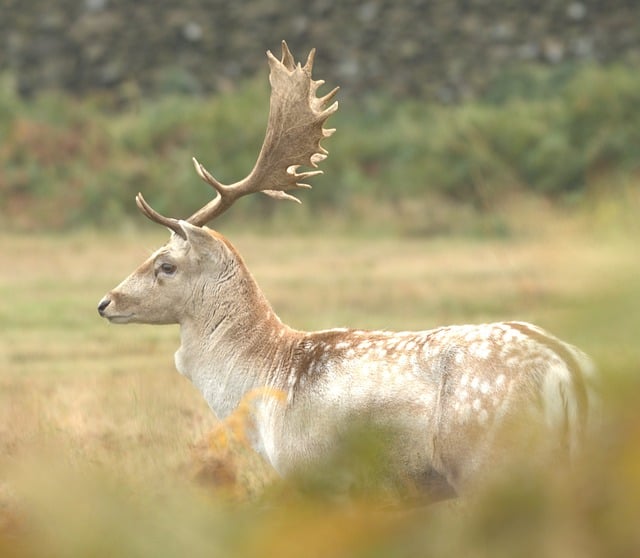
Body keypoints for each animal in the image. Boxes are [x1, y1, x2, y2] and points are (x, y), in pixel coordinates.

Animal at [98, 42, 598, 501]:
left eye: (166, 264)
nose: (105, 302)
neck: (264, 382)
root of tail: (566, 368)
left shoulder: (315, 475)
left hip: (491, 461)